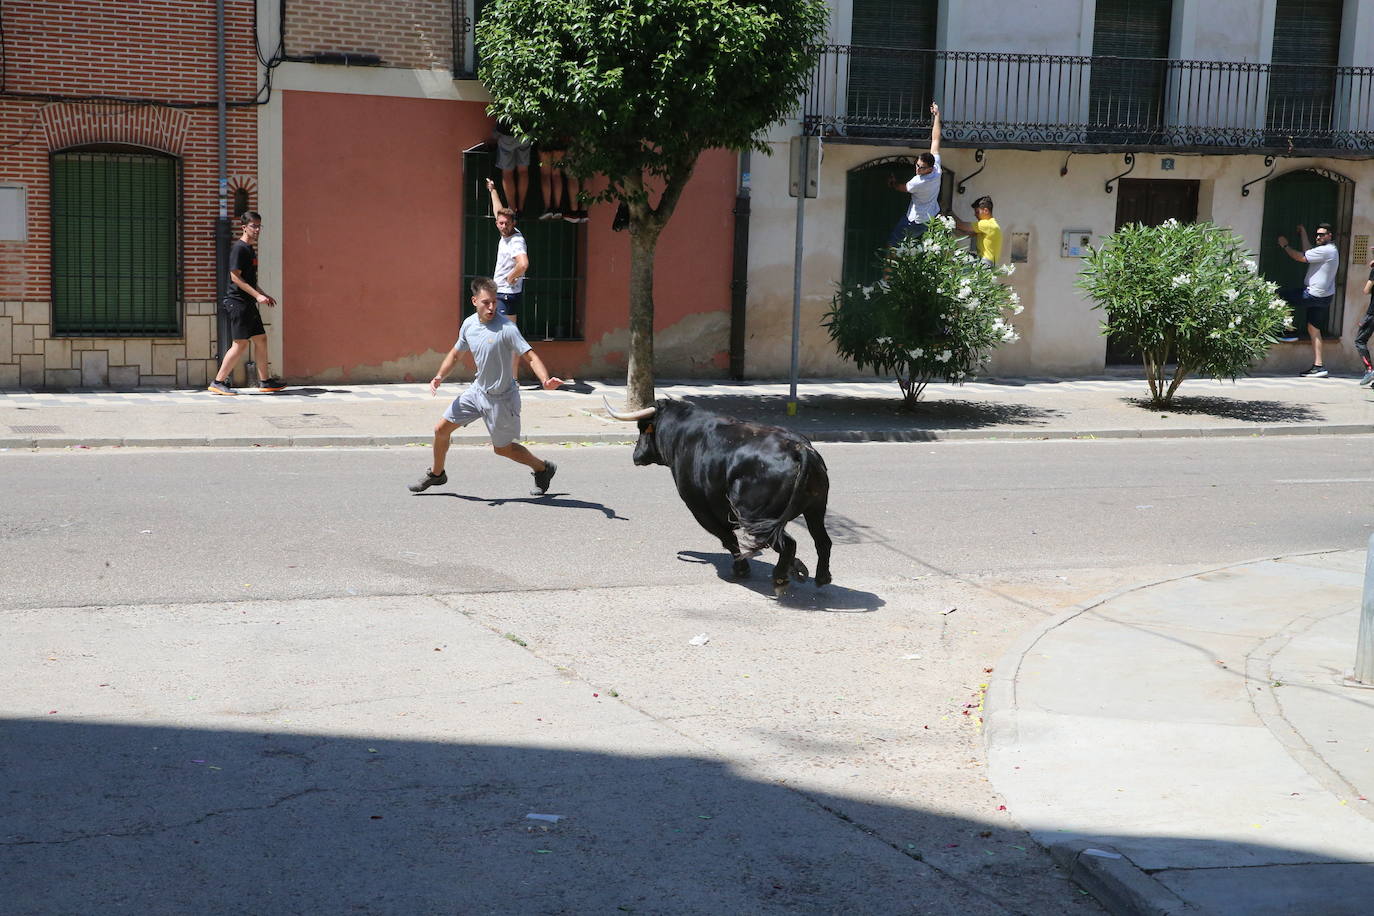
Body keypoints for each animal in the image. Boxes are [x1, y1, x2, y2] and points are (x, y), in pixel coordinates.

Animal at [607, 401, 829, 596]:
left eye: (643, 428)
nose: (636, 456)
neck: (681, 435)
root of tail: (797, 448)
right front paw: (798, 568)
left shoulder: (700, 509)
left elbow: (728, 539)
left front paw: (742, 569)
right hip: (815, 509)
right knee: (822, 541)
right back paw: (821, 577)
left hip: (755, 518)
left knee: (788, 543)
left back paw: (780, 579)